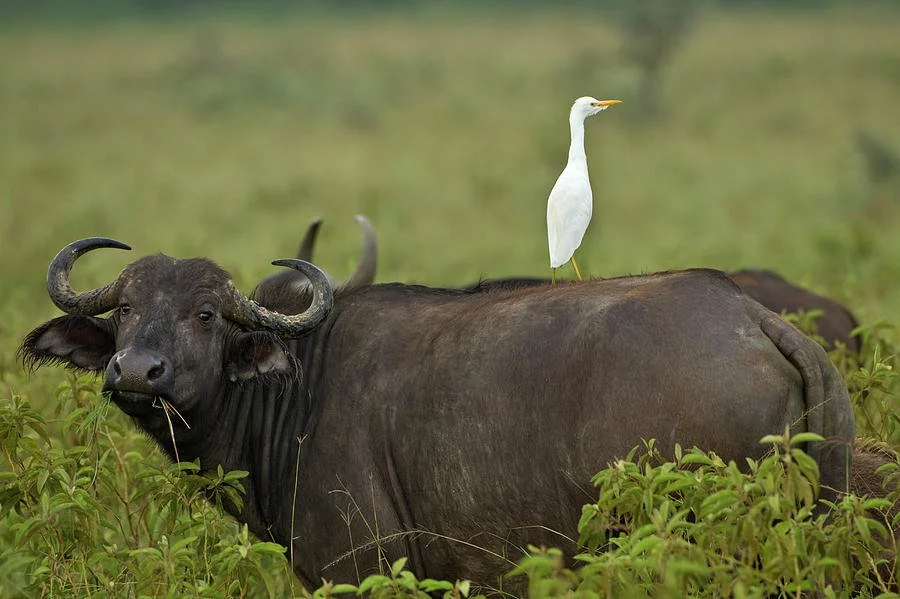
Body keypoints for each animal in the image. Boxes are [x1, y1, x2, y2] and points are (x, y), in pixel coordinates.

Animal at [20, 238, 855, 592]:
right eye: (127, 308)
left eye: (203, 315)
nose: (137, 371)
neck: (296, 388)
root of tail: (751, 316)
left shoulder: (362, 571)